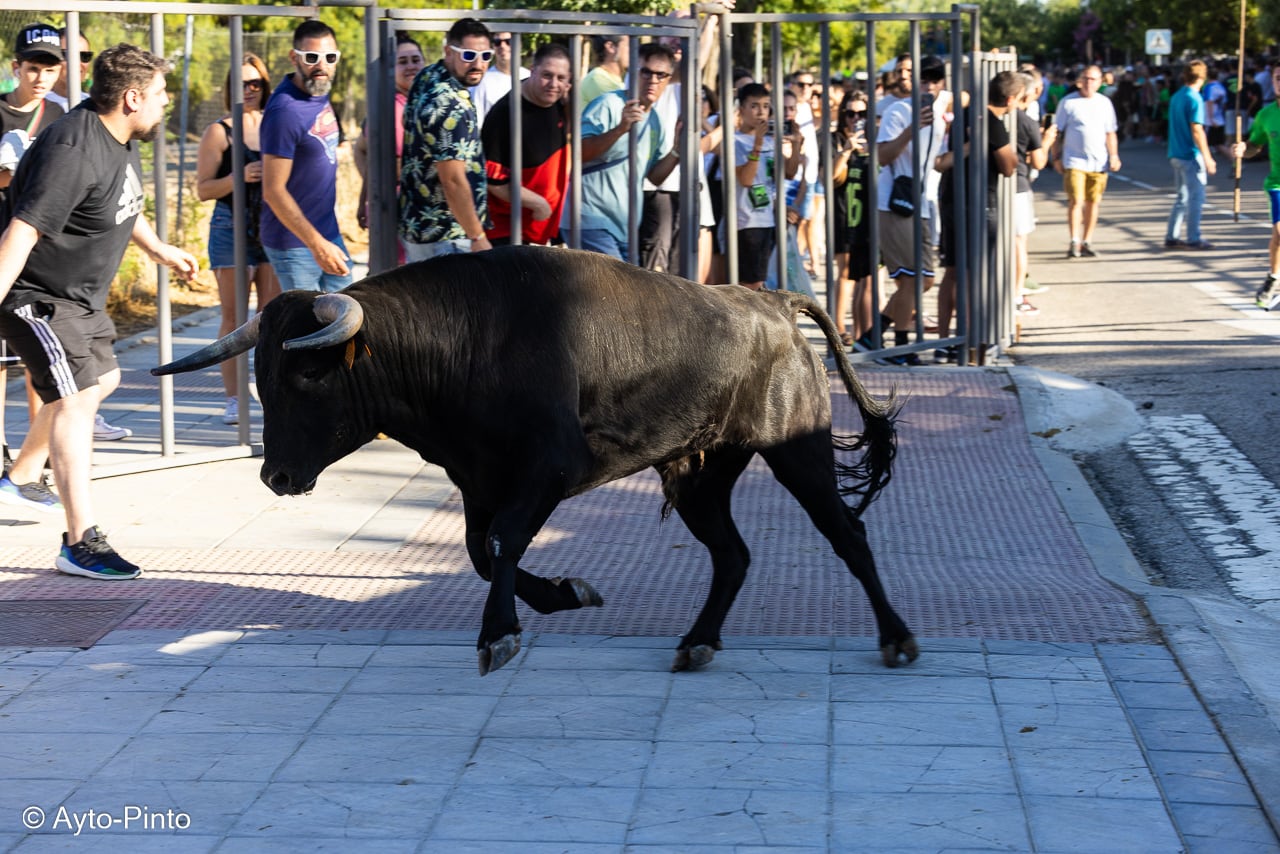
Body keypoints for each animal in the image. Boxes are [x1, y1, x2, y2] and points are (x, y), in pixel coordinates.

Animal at [154, 245, 916, 676]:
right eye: (262, 377)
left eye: (309, 376)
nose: (275, 477)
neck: (466, 340)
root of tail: (770, 303)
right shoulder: (477, 480)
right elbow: (483, 552)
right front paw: (564, 594)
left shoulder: (548, 469)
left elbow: (503, 543)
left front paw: (500, 636)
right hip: (698, 472)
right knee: (732, 554)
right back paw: (698, 642)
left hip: (798, 451)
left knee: (846, 533)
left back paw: (898, 638)